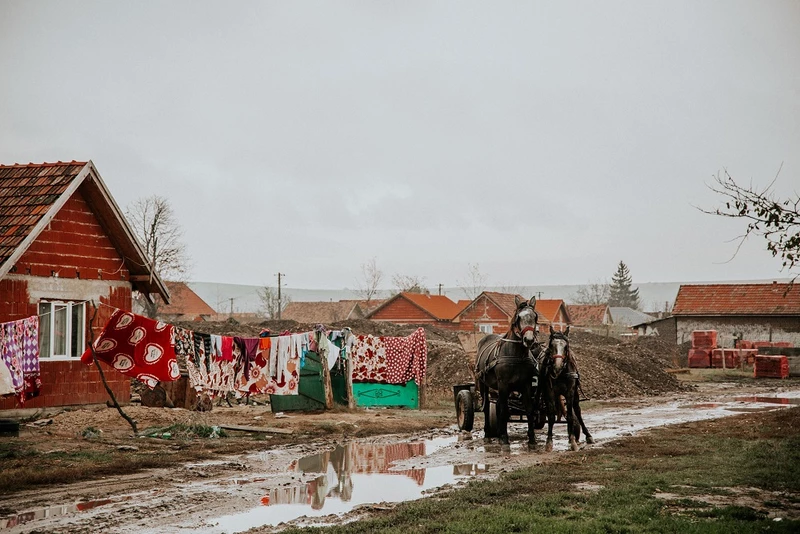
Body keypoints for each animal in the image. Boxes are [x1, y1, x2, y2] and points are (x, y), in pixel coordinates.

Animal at [478, 298, 540, 448]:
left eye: (535, 317)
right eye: (519, 317)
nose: (529, 340)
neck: (516, 355)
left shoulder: (526, 385)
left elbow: (529, 409)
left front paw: (532, 439)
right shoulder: (503, 385)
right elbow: (504, 410)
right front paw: (504, 438)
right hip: (483, 384)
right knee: (488, 407)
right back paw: (488, 434)